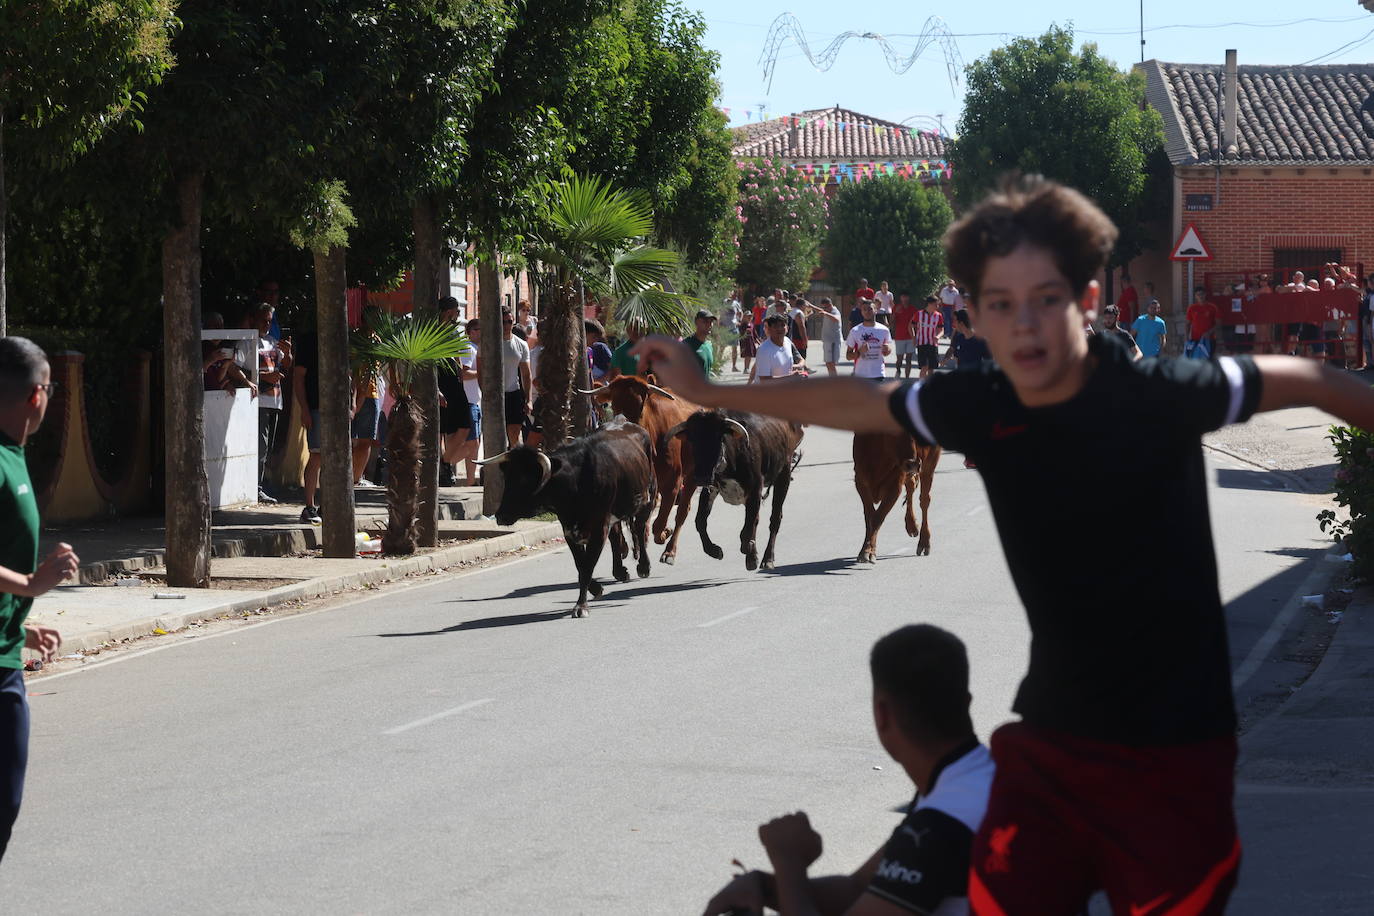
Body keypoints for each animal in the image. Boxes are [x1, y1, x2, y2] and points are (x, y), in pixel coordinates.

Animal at [480, 420, 656, 620]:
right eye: (507, 478)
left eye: (525, 480)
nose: (500, 516)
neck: (577, 481)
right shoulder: (569, 529)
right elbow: (581, 565)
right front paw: (596, 589)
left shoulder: (598, 528)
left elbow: (587, 567)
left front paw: (581, 606)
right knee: (616, 534)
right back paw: (620, 572)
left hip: (648, 497)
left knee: (640, 529)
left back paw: (643, 566)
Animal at [582, 373, 703, 565]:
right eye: (613, 405)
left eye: (640, 406)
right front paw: (625, 546)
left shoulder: (672, 483)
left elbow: (659, 524)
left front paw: (664, 533)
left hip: (692, 475)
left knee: (682, 511)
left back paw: (669, 551)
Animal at [667, 411, 802, 568]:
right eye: (692, 439)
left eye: (718, 437)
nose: (701, 477)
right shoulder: (710, 489)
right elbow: (700, 521)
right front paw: (714, 550)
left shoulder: (755, 488)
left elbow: (747, 528)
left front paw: (748, 547)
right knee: (756, 519)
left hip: (784, 474)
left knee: (774, 519)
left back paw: (767, 559)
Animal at [851, 433, 939, 563]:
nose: (913, 464)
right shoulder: (860, 481)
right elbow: (869, 517)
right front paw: (865, 551)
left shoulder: (895, 487)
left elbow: (877, 518)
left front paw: (868, 552)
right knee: (911, 486)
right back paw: (912, 526)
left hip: (929, 465)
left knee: (924, 500)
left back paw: (924, 543)